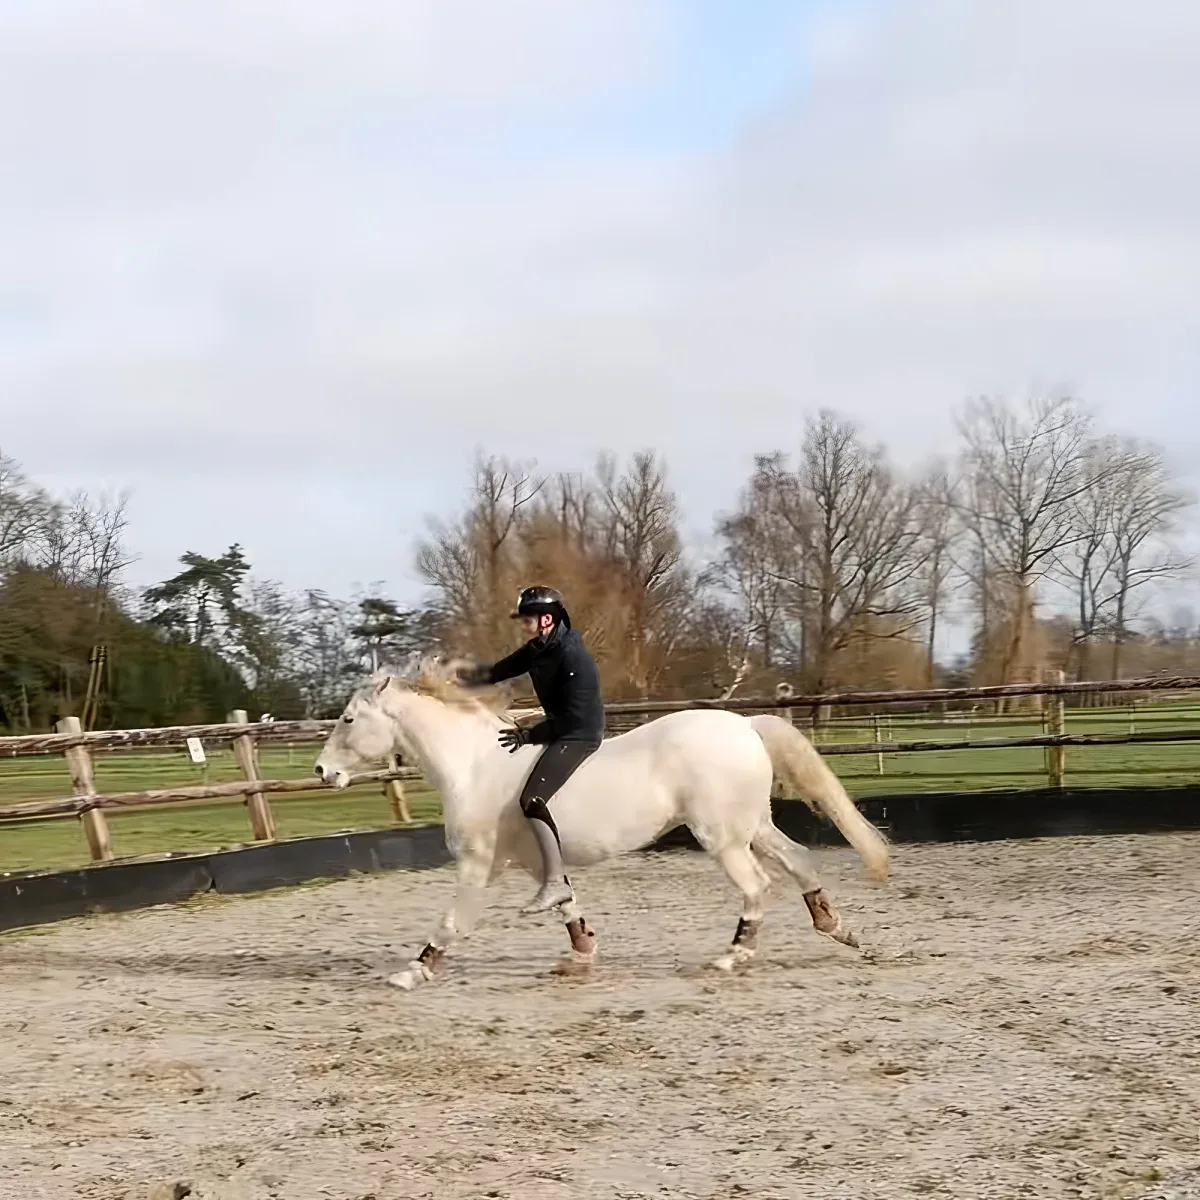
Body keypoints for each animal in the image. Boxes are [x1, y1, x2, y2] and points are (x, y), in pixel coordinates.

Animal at [313, 657, 889, 990]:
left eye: (347, 718)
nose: (322, 772)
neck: (474, 766)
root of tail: (744, 725)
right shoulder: (537, 863)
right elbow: (567, 904)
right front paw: (582, 957)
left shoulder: (479, 864)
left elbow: (453, 922)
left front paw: (413, 971)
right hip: (752, 827)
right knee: (799, 861)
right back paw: (838, 930)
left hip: (722, 838)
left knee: (757, 886)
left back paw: (733, 957)